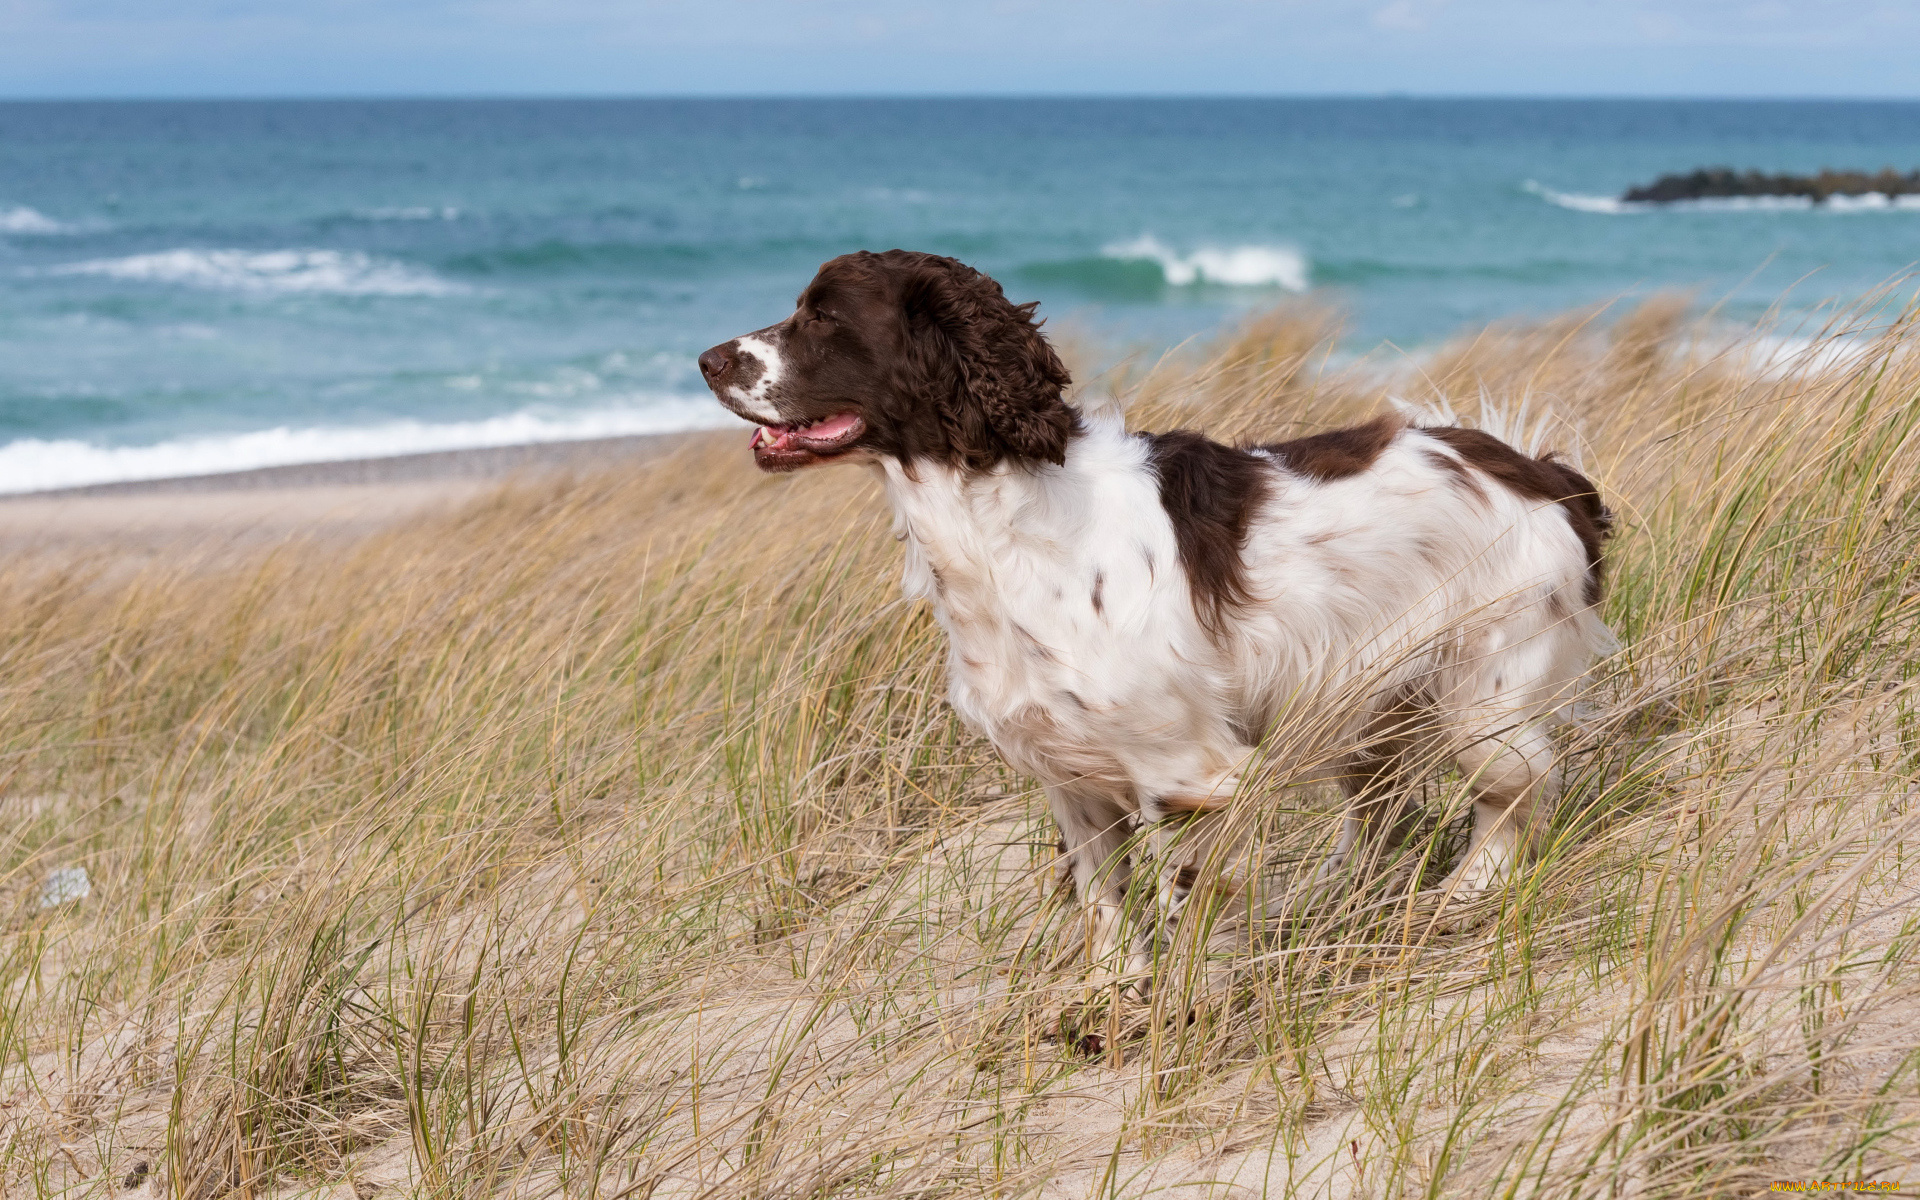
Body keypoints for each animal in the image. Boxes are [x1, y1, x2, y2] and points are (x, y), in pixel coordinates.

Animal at [698, 249, 1612, 983]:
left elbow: (1185, 902)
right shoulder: (1071, 781)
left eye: (825, 314)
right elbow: (1104, 899)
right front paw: (1113, 992)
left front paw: (1183, 1003)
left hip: (1483, 704)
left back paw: (1462, 896)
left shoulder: (1189, 774)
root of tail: (1540, 471)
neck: (998, 521)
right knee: (1384, 811)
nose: (705, 359)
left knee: (1520, 794)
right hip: (1365, 709)